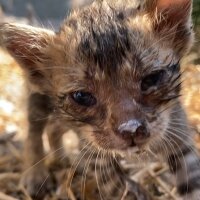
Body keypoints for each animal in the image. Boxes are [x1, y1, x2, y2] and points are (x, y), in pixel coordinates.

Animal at [0, 0, 200, 199]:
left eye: (151, 79)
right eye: (82, 97)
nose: (131, 130)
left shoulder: (179, 138)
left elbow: (192, 182)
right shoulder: (98, 161)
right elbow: (121, 190)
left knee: (53, 128)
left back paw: (62, 159)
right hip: (37, 101)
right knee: (34, 132)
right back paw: (35, 176)